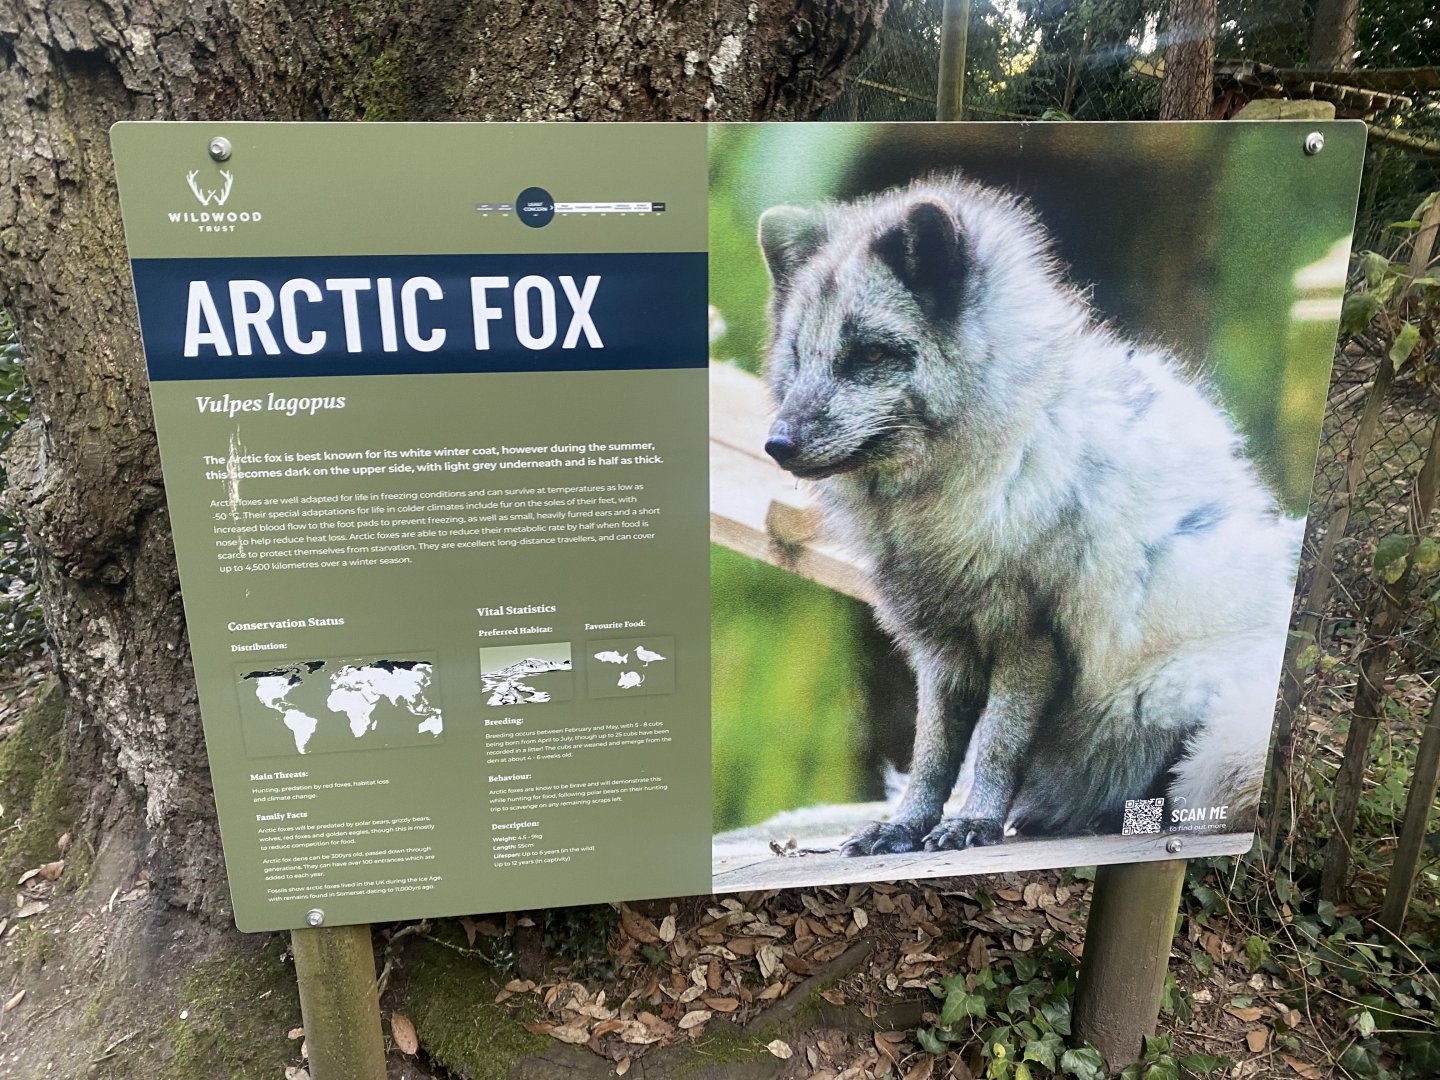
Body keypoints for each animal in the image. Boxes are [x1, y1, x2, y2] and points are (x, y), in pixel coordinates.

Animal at [756, 176, 1301, 855]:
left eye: (868, 356)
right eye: (798, 356)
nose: (777, 444)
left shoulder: (1029, 637)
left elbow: (995, 744)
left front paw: (973, 823)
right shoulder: (942, 648)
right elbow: (933, 753)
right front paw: (907, 827)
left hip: (1177, 697)